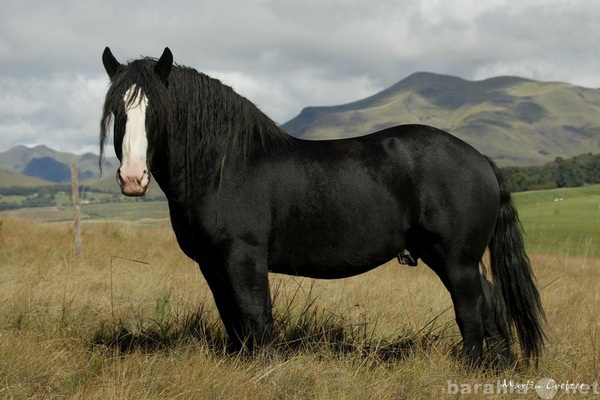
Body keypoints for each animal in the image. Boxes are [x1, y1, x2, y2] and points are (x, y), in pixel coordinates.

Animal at [101, 47, 548, 366]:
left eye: (158, 111)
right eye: (117, 111)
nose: (133, 178)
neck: (224, 166)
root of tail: (481, 159)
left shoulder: (244, 258)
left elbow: (256, 319)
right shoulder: (213, 265)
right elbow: (234, 323)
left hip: (456, 259)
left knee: (470, 311)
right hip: (447, 258)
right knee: (490, 304)